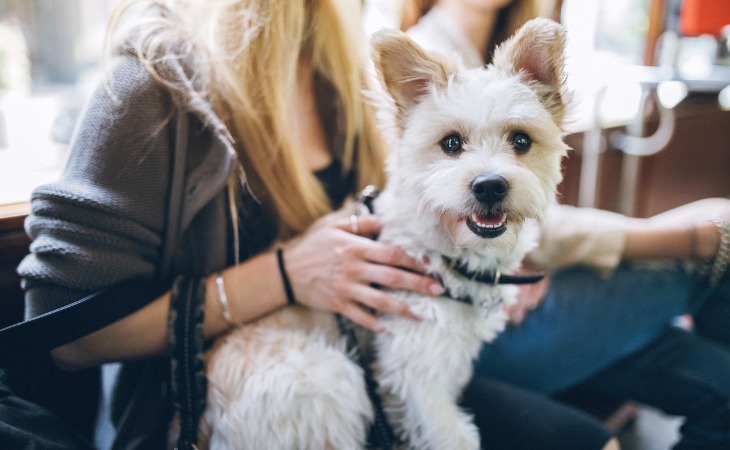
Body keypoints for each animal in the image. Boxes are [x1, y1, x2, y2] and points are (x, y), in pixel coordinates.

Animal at [198, 18, 568, 450]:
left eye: (521, 140)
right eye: (451, 143)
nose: (489, 186)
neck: (440, 251)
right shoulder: (417, 371)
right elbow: (451, 435)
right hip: (333, 381)